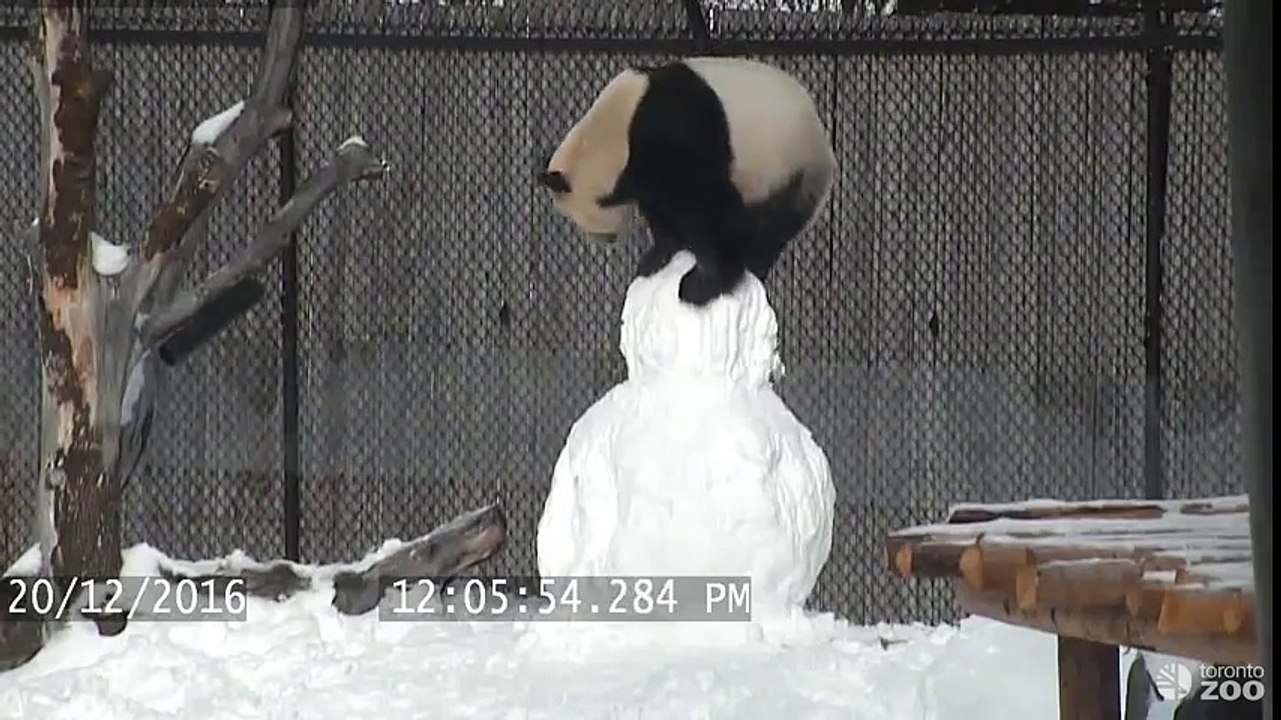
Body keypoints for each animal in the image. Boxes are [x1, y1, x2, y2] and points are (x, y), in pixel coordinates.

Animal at [537, 56, 836, 307]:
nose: (605, 240)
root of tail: (826, 153)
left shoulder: (677, 136)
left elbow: (708, 208)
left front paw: (701, 286)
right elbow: (661, 210)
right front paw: (655, 258)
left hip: (789, 168)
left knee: (771, 222)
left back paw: (751, 263)